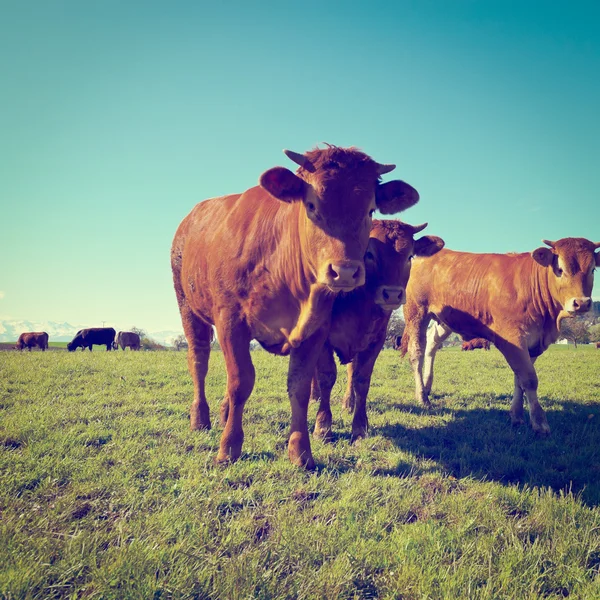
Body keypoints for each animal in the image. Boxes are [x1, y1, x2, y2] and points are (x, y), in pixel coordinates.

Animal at [171, 144, 420, 468]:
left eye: (369, 210)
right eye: (311, 205)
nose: (345, 272)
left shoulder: (316, 330)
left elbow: (301, 386)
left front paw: (301, 451)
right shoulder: (230, 321)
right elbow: (240, 381)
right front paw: (229, 448)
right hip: (188, 307)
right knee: (198, 360)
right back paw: (200, 418)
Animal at [310, 220, 446, 440]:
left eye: (410, 256)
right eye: (369, 253)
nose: (392, 294)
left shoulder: (375, 340)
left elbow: (362, 379)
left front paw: (359, 428)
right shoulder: (322, 339)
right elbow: (326, 377)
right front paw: (322, 427)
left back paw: (348, 403)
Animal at [404, 237, 600, 434]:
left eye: (592, 269)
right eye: (560, 269)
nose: (581, 303)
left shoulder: (531, 343)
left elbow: (519, 380)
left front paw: (516, 416)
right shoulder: (513, 340)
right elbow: (529, 379)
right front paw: (539, 423)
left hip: (444, 320)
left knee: (432, 344)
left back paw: (427, 387)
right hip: (416, 312)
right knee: (417, 352)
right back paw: (422, 396)